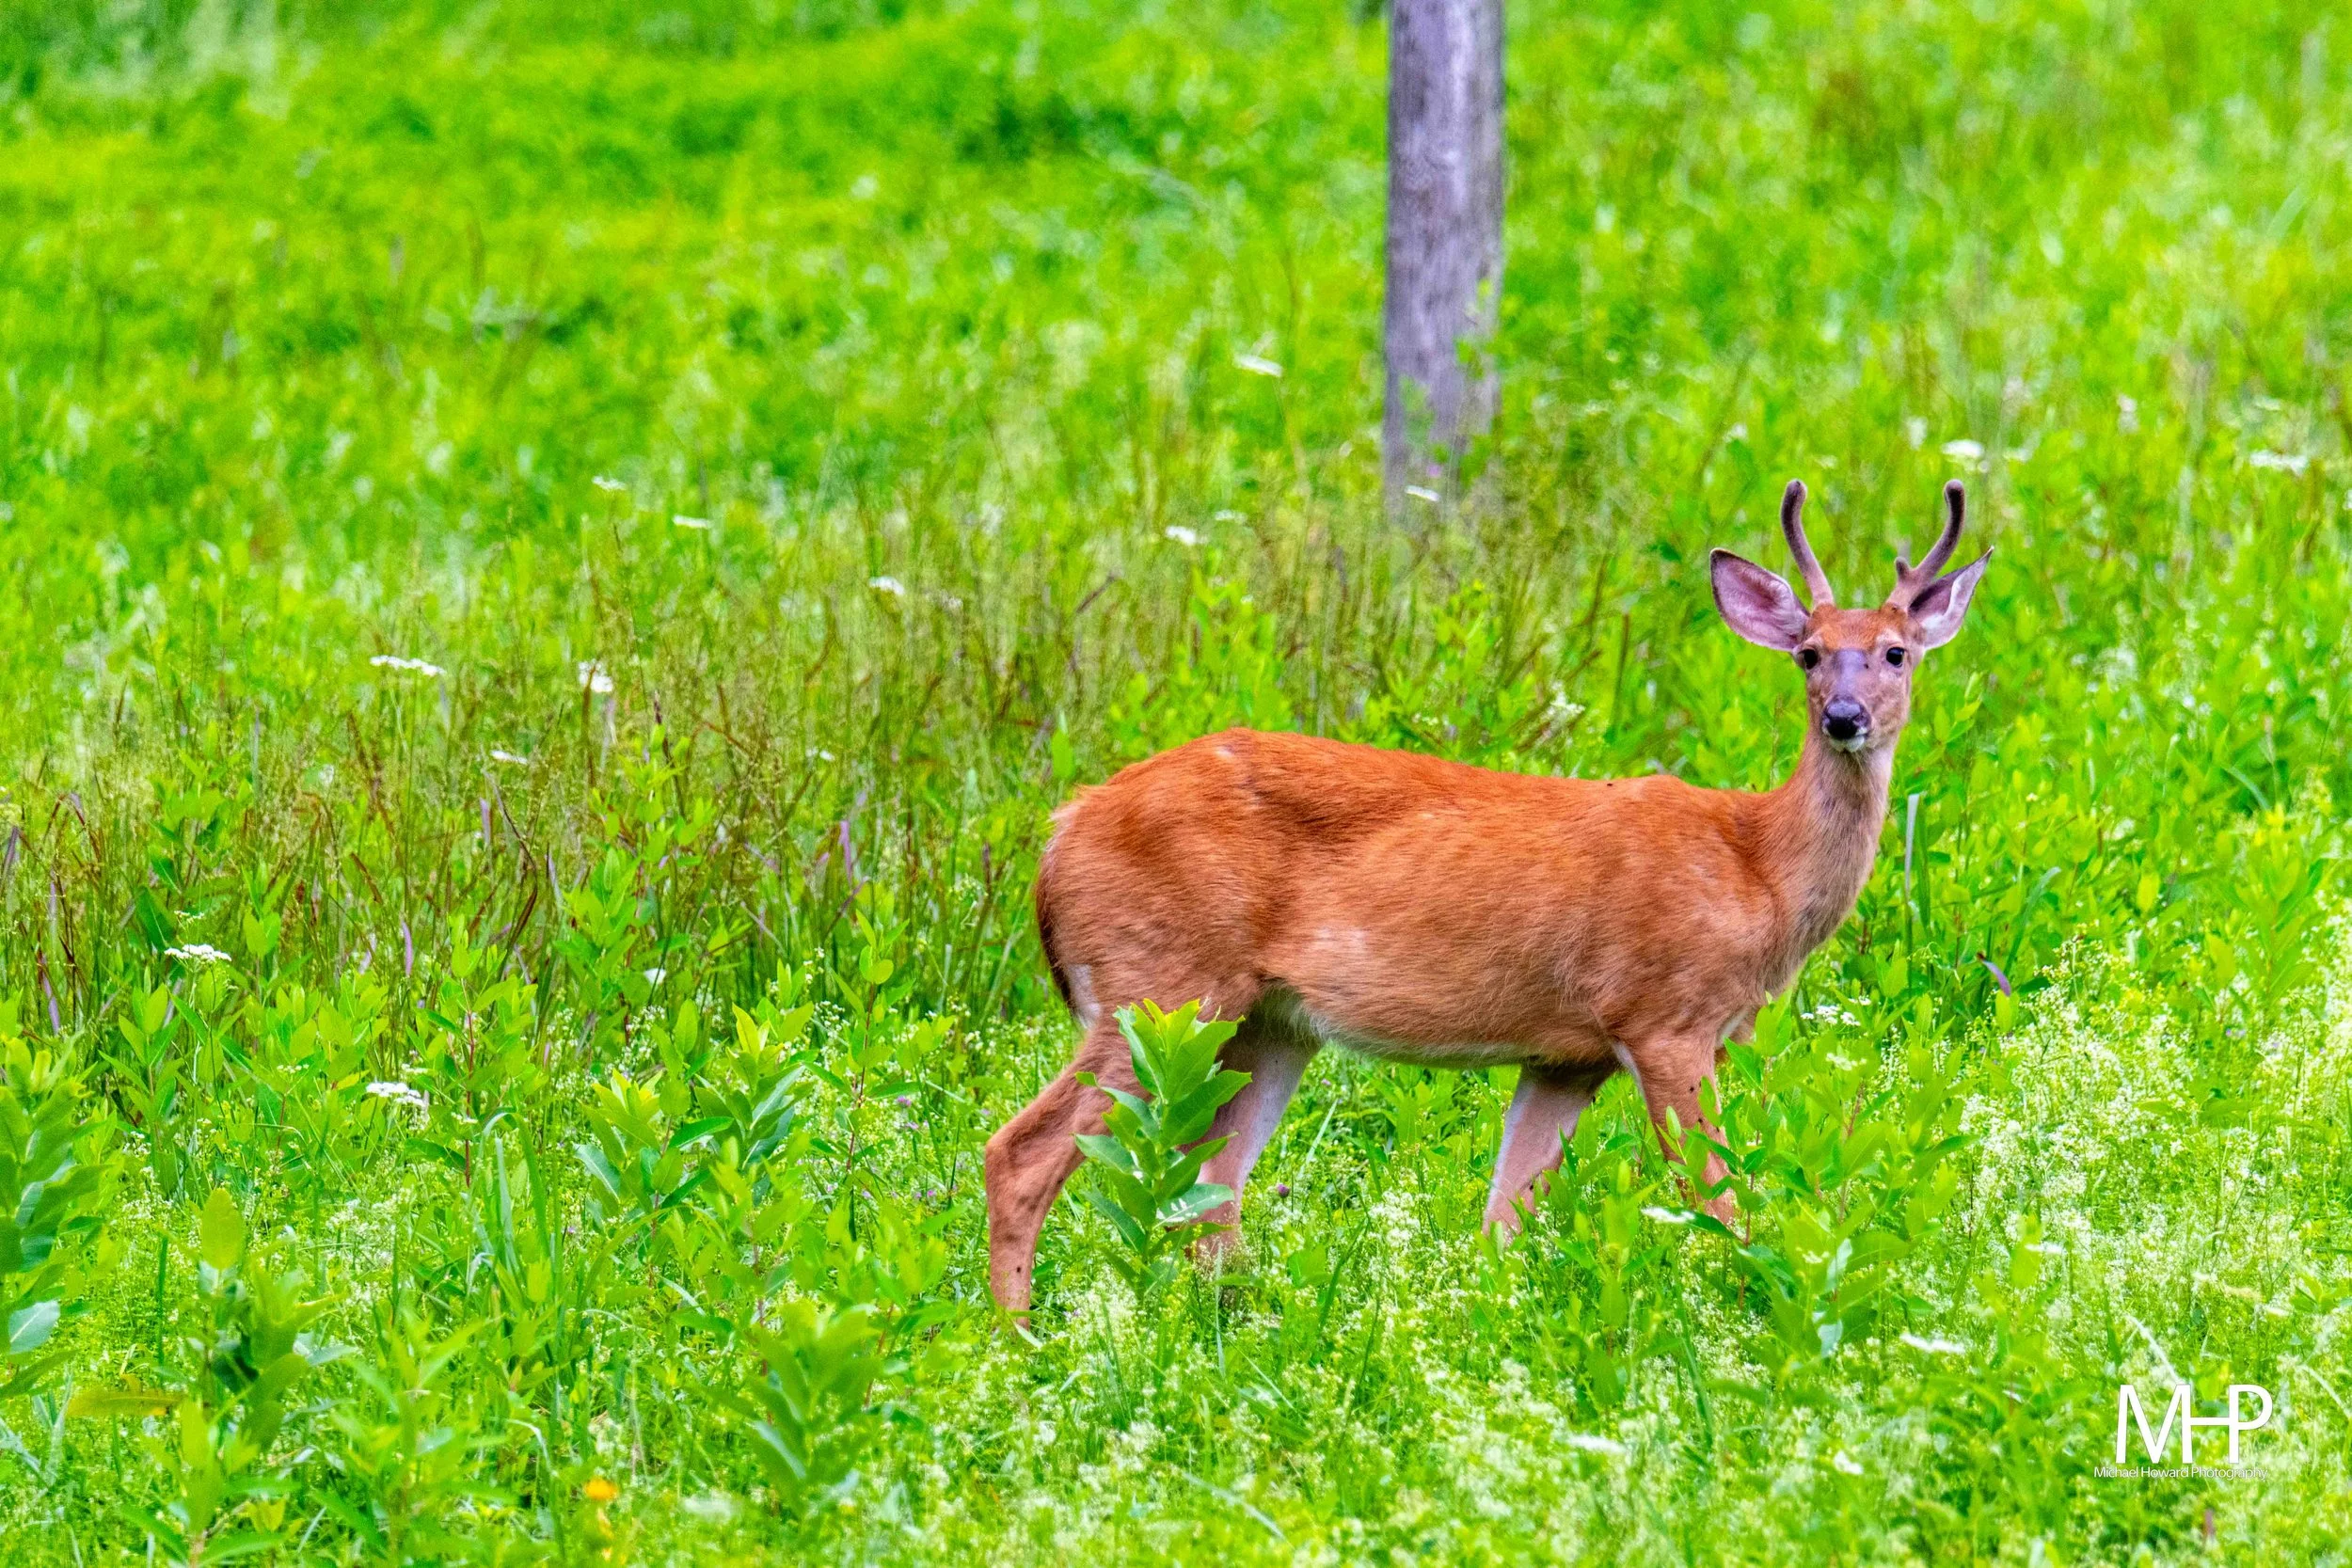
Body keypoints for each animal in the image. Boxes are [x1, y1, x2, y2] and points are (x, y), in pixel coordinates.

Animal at [984, 479, 1991, 1314]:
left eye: (1896, 653)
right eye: (1810, 655)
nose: (1846, 717)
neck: (1757, 866)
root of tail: (1062, 832)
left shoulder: (1567, 1052)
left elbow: (1504, 1220)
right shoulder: (1665, 1015)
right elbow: (1717, 1196)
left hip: (1265, 1022)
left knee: (1212, 1190)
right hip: (1160, 979)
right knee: (1022, 1152)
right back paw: (1017, 1342)